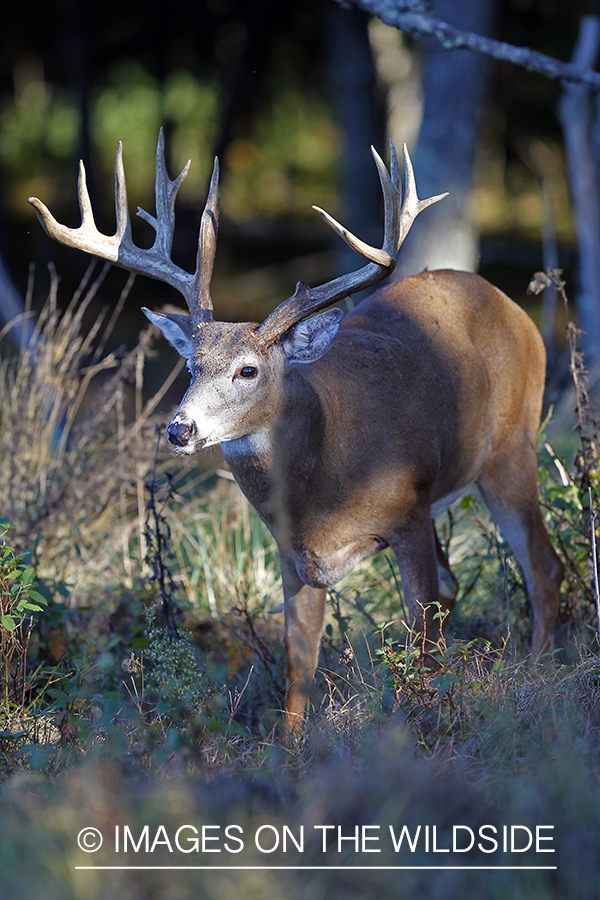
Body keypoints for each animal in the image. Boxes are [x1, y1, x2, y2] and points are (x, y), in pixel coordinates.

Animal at [28, 128, 564, 732]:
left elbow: (421, 639)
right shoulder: (293, 556)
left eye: (247, 370)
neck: (328, 478)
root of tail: (513, 307)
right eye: (191, 366)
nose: (180, 430)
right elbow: (298, 662)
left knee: (544, 567)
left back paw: (538, 673)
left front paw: (421, 726)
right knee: (464, 588)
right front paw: (291, 746)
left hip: (511, 448)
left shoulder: (408, 514)